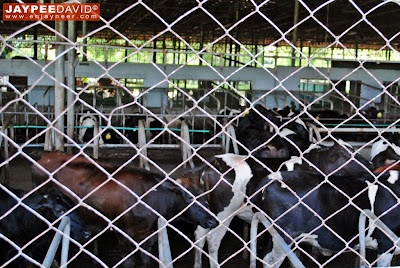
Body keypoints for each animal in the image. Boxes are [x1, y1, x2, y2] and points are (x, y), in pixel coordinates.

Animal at [31, 152, 217, 266]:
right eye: (189, 197)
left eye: (204, 196)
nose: (212, 220)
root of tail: (45, 156)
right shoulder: (124, 236)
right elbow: (129, 262)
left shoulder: (148, 236)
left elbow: (145, 259)